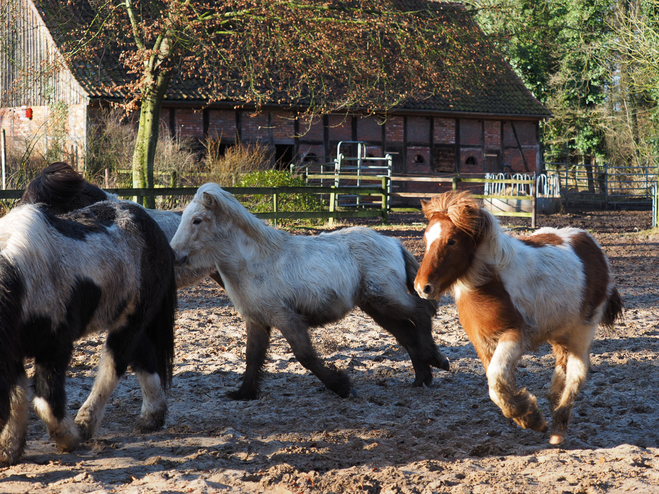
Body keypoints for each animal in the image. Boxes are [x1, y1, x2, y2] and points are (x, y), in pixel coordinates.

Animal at [0, 200, 178, 464]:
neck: (19, 280)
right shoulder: (12, 353)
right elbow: (16, 398)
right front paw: (9, 449)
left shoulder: (55, 347)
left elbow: (44, 402)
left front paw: (69, 438)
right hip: (130, 321)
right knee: (144, 356)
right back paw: (151, 419)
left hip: (130, 321)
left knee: (113, 366)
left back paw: (85, 424)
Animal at [170, 183, 452, 400]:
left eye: (197, 220)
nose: (174, 255)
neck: (254, 262)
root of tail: (393, 241)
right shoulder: (257, 320)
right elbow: (252, 358)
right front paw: (243, 394)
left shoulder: (286, 318)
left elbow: (304, 356)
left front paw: (342, 386)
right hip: (376, 306)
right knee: (407, 334)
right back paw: (422, 377)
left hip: (386, 298)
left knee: (420, 312)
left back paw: (436, 360)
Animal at [418, 191, 624, 446]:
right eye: (426, 239)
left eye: (452, 241)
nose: (422, 287)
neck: (491, 281)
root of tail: (591, 243)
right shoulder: (482, 342)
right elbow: (496, 384)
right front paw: (528, 413)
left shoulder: (515, 335)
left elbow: (496, 379)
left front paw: (532, 417)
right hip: (559, 332)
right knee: (562, 365)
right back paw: (554, 403)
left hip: (582, 330)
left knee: (577, 372)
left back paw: (558, 429)